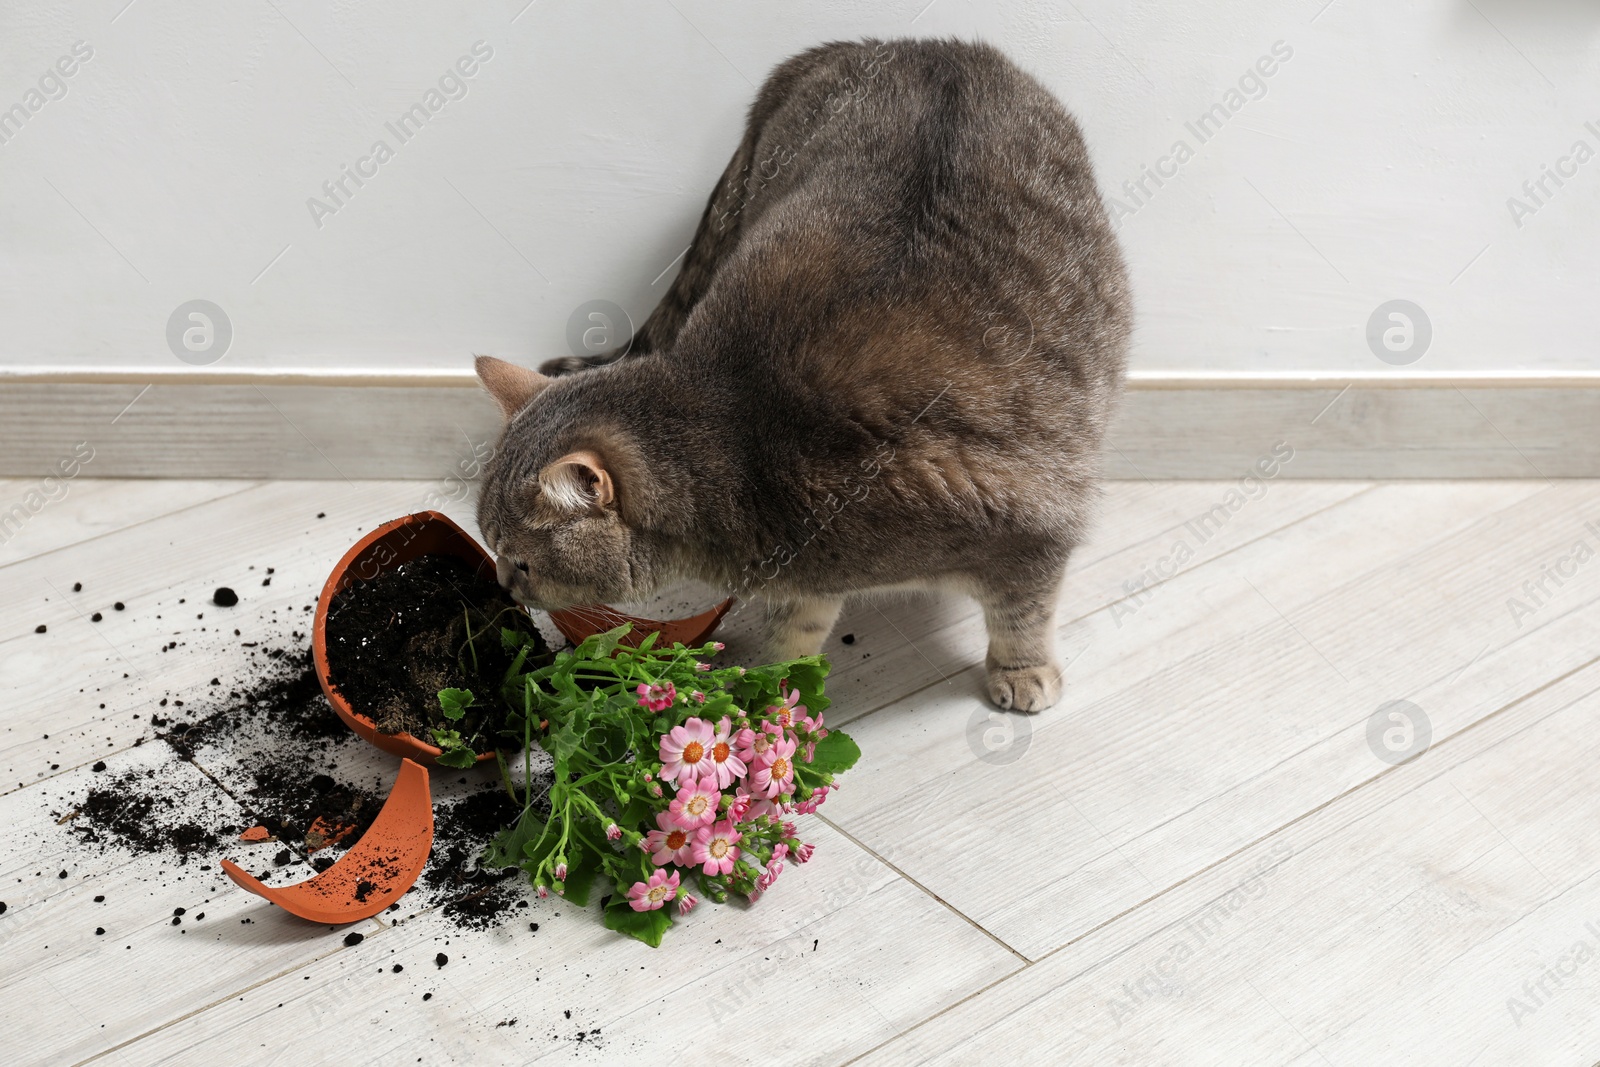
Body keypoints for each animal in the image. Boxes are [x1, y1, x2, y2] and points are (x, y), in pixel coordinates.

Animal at [470, 39, 1126, 710]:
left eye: (523, 561)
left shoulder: (1036, 527)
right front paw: (768, 701)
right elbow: (795, 640)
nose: (501, 585)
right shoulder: (807, 581)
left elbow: (1024, 613)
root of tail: (917, 44)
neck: (743, 443)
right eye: (492, 547)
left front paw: (1022, 671)